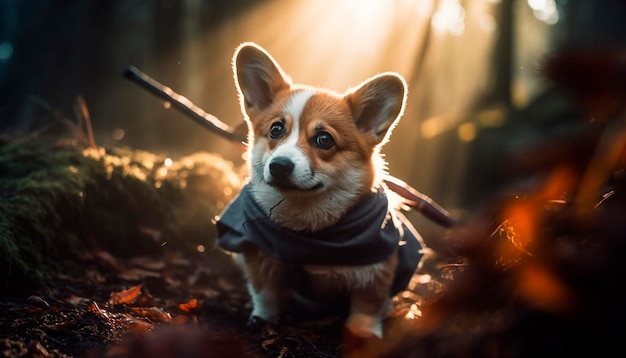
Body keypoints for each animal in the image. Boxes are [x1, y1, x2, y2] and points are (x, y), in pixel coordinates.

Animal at [214, 42, 424, 338]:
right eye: (275, 130)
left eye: (324, 139)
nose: (279, 166)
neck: (307, 230)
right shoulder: (258, 256)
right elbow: (265, 294)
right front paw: (262, 320)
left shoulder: (377, 269)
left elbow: (366, 309)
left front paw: (363, 336)